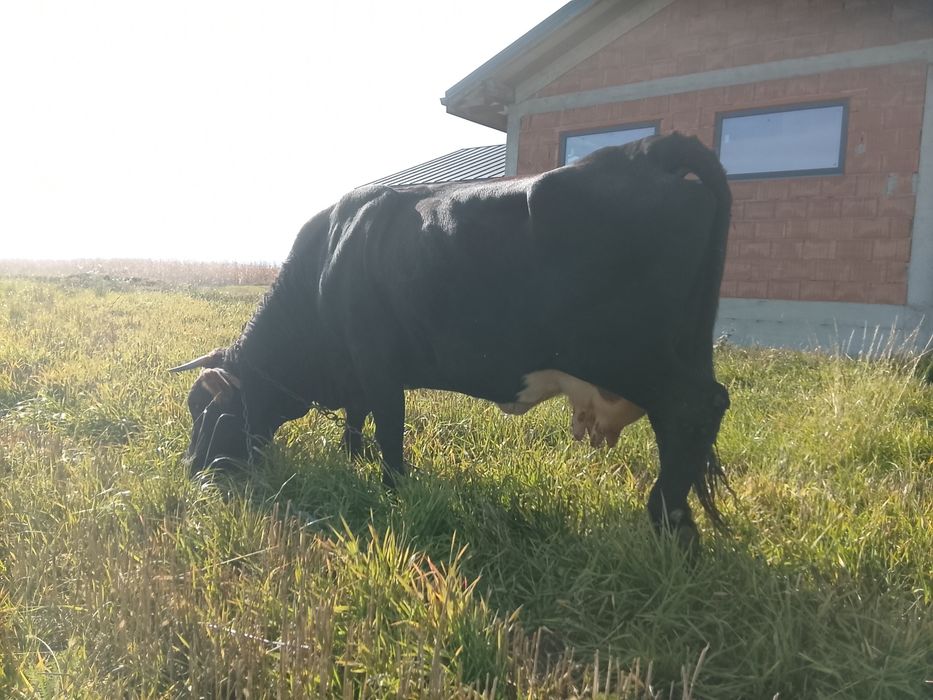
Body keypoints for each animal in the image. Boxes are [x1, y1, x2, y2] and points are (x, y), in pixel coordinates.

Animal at [170, 132, 732, 549]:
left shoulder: (378, 367)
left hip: (630, 354)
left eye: (209, 411)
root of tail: (643, 150)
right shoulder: (356, 374)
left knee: (691, 409)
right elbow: (356, 422)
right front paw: (352, 462)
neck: (327, 262)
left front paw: (392, 489)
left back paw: (671, 525)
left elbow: (388, 431)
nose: (193, 471)